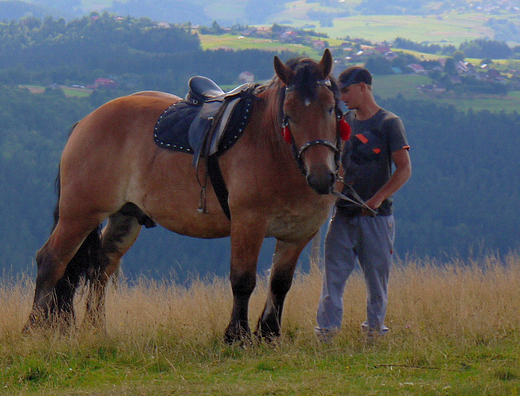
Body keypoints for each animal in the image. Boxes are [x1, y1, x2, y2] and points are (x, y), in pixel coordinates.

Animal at [25, 48, 350, 342]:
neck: (274, 148)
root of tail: (86, 122)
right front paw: (237, 335)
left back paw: (96, 329)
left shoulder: (299, 233)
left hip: (124, 218)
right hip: (79, 215)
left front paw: (269, 333)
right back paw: (34, 327)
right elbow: (243, 280)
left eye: (331, 108)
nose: (322, 176)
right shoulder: (248, 224)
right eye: (289, 114)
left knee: (101, 267)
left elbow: (280, 284)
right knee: (51, 260)